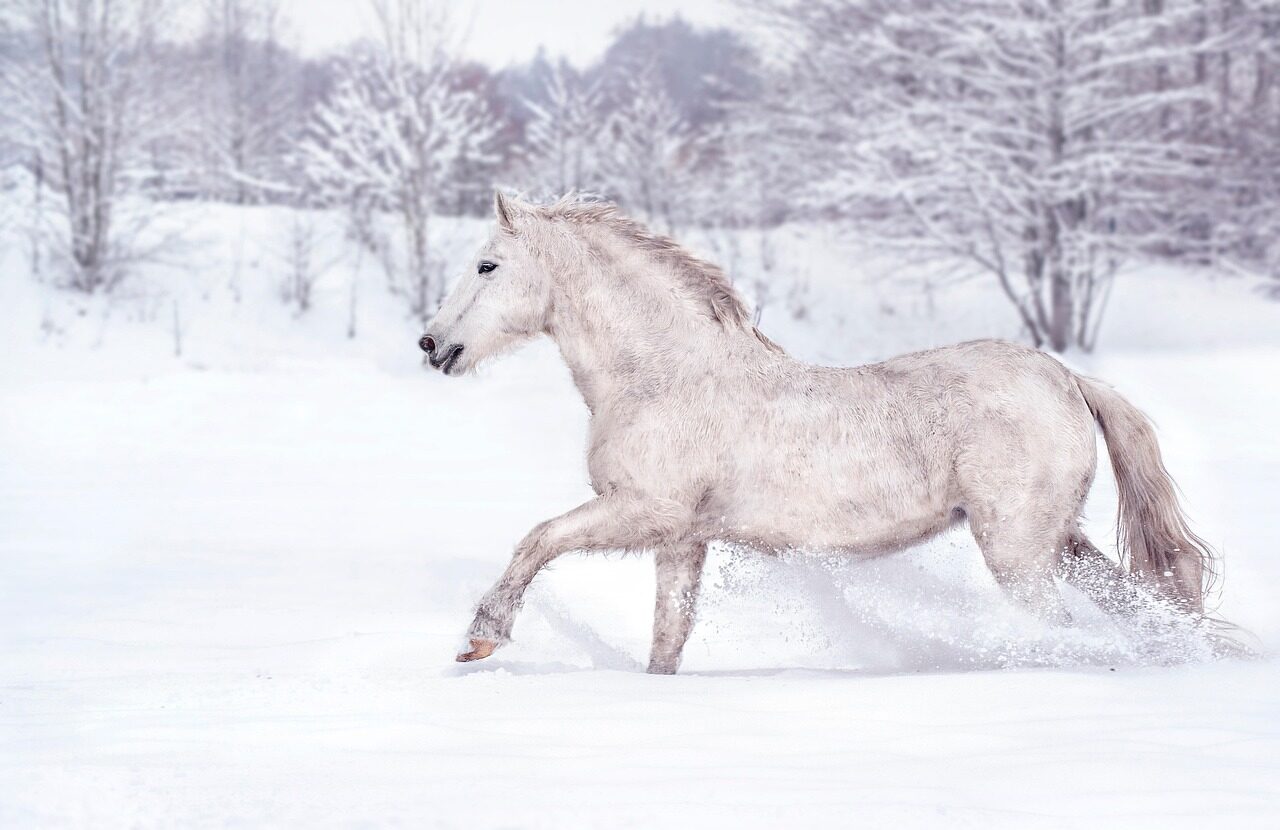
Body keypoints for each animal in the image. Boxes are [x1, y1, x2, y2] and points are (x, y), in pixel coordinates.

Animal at [420, 192, 1217, 674]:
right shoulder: (681, 540)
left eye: (487, 265)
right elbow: (668, 637)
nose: (432, 345)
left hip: (1018, 550)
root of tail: (1066, 378)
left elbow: (537, 540)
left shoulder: (643, 511)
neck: (665, 374)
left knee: (1062, 628)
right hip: (1060, 543)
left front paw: (482, 638)